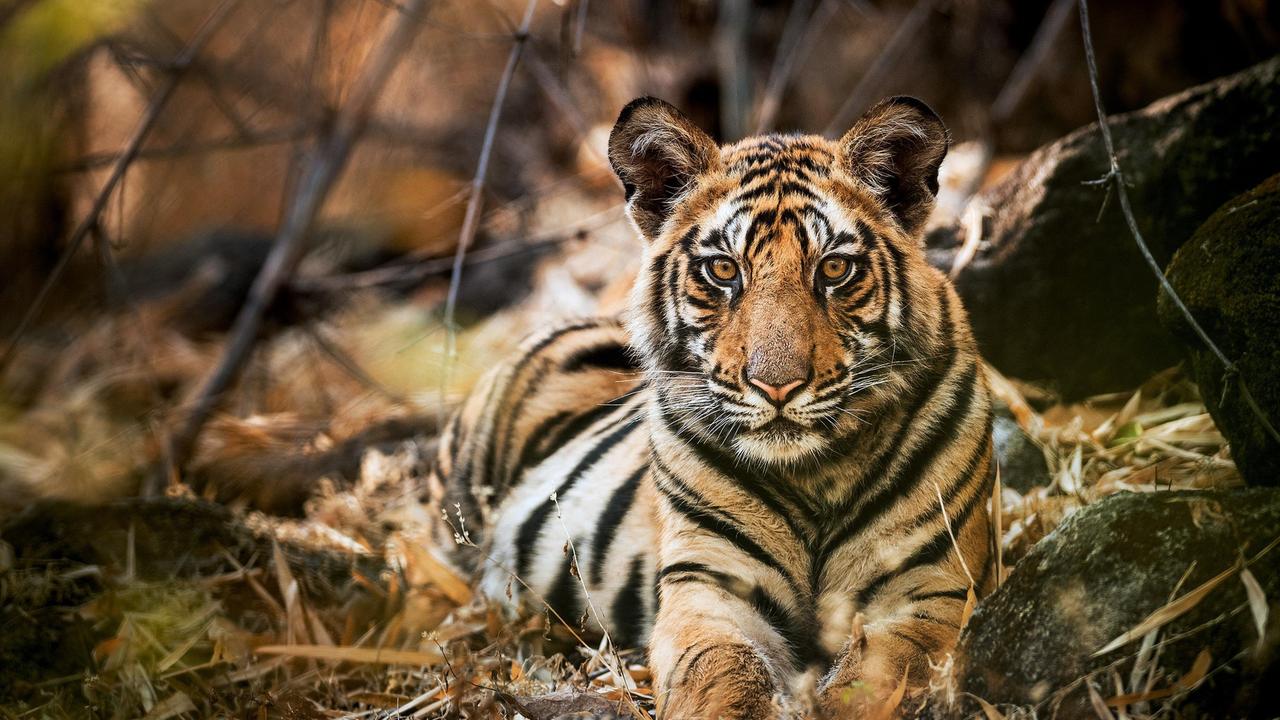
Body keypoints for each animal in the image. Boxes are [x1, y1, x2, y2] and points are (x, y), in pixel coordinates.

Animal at [424, 96, 993, 717]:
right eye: (723, 270)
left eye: (834, 269)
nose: (776, 386)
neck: (814, 475)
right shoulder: (711, 586)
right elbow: (723, 673)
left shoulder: (929, 590)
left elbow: (875, 682)